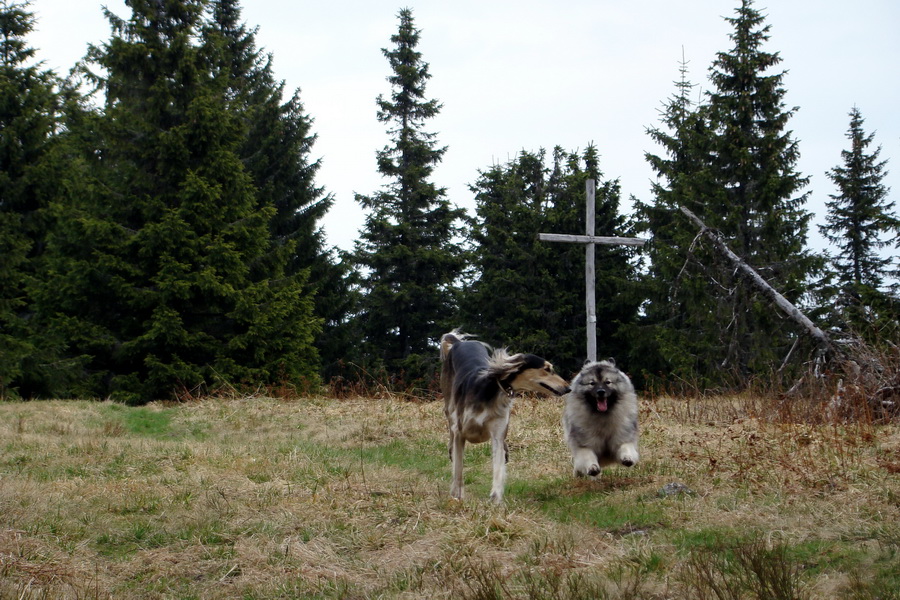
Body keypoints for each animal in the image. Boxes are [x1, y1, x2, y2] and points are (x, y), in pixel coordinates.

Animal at [442, 330, 568, 504]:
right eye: (547, 369)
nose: (568, 388)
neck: (490, 391)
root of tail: (460, 343)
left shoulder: (497, 433)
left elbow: (498, 467)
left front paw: (495, 498)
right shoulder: (461, 432)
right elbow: (458, 468)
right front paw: (456, 495)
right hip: (449, 403)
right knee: (450, 425)